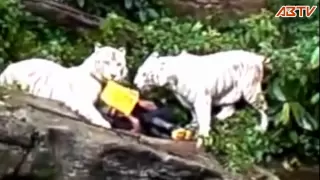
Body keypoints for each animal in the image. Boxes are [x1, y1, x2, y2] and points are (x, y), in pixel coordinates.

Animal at [132, 49, 270, 148]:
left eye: (144, 74)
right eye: (140, 71)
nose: (135, 83)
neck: (172, 81)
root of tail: (257, 57)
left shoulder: (202, 99)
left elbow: (203, 118)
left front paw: (202, 138)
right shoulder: (187, 100)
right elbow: (195, 116)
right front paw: (192, 127)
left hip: (250, 90)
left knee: (263, 108)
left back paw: (262, 128)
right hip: (228, 91)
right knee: (230, 108)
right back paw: (218, 117)